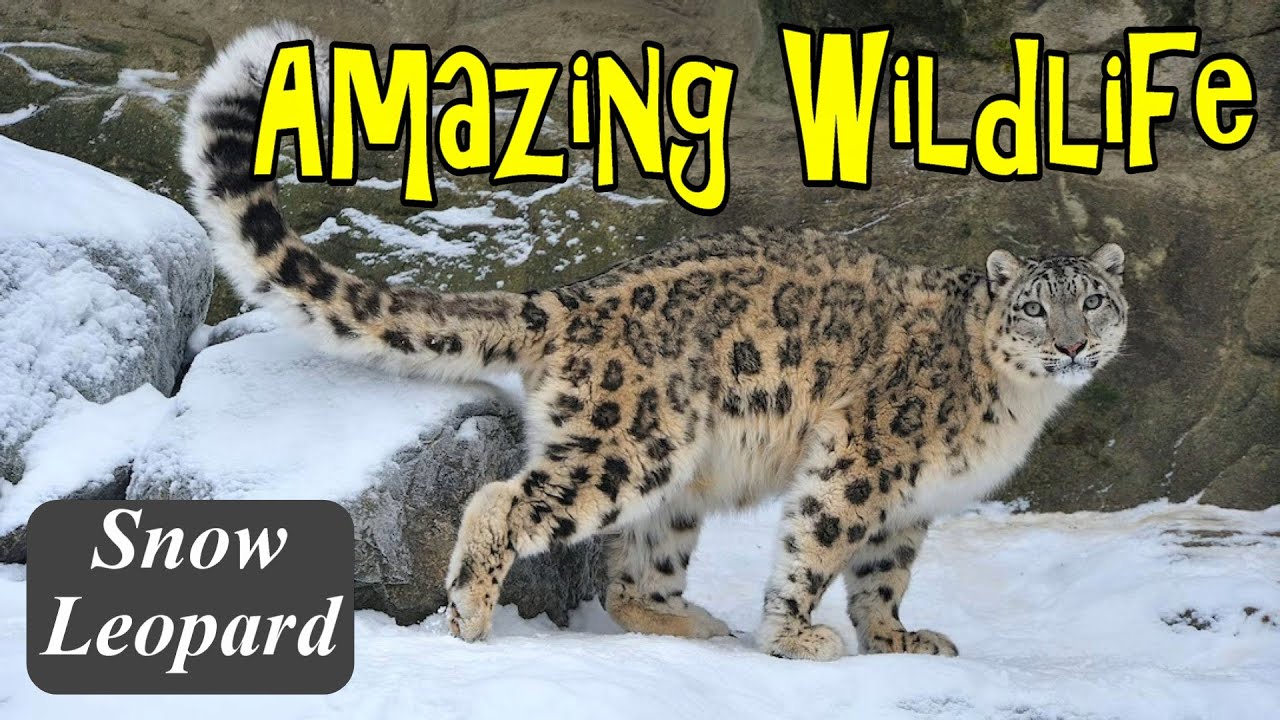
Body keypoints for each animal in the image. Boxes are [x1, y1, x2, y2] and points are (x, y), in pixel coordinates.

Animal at [182, 24, 1128, 660]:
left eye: (1094, 301)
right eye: (1036, 308)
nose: (1074, 347)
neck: (1018, 406)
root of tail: (571, 299)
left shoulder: (912, 502)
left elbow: (883, 574)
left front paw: (896, 640)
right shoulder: (862, 461)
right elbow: (817, 545)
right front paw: (796, 637)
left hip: (676, 480)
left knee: (633, 573)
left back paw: (688, 620)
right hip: (628, 448)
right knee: (505, 503)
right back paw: (473, 615)